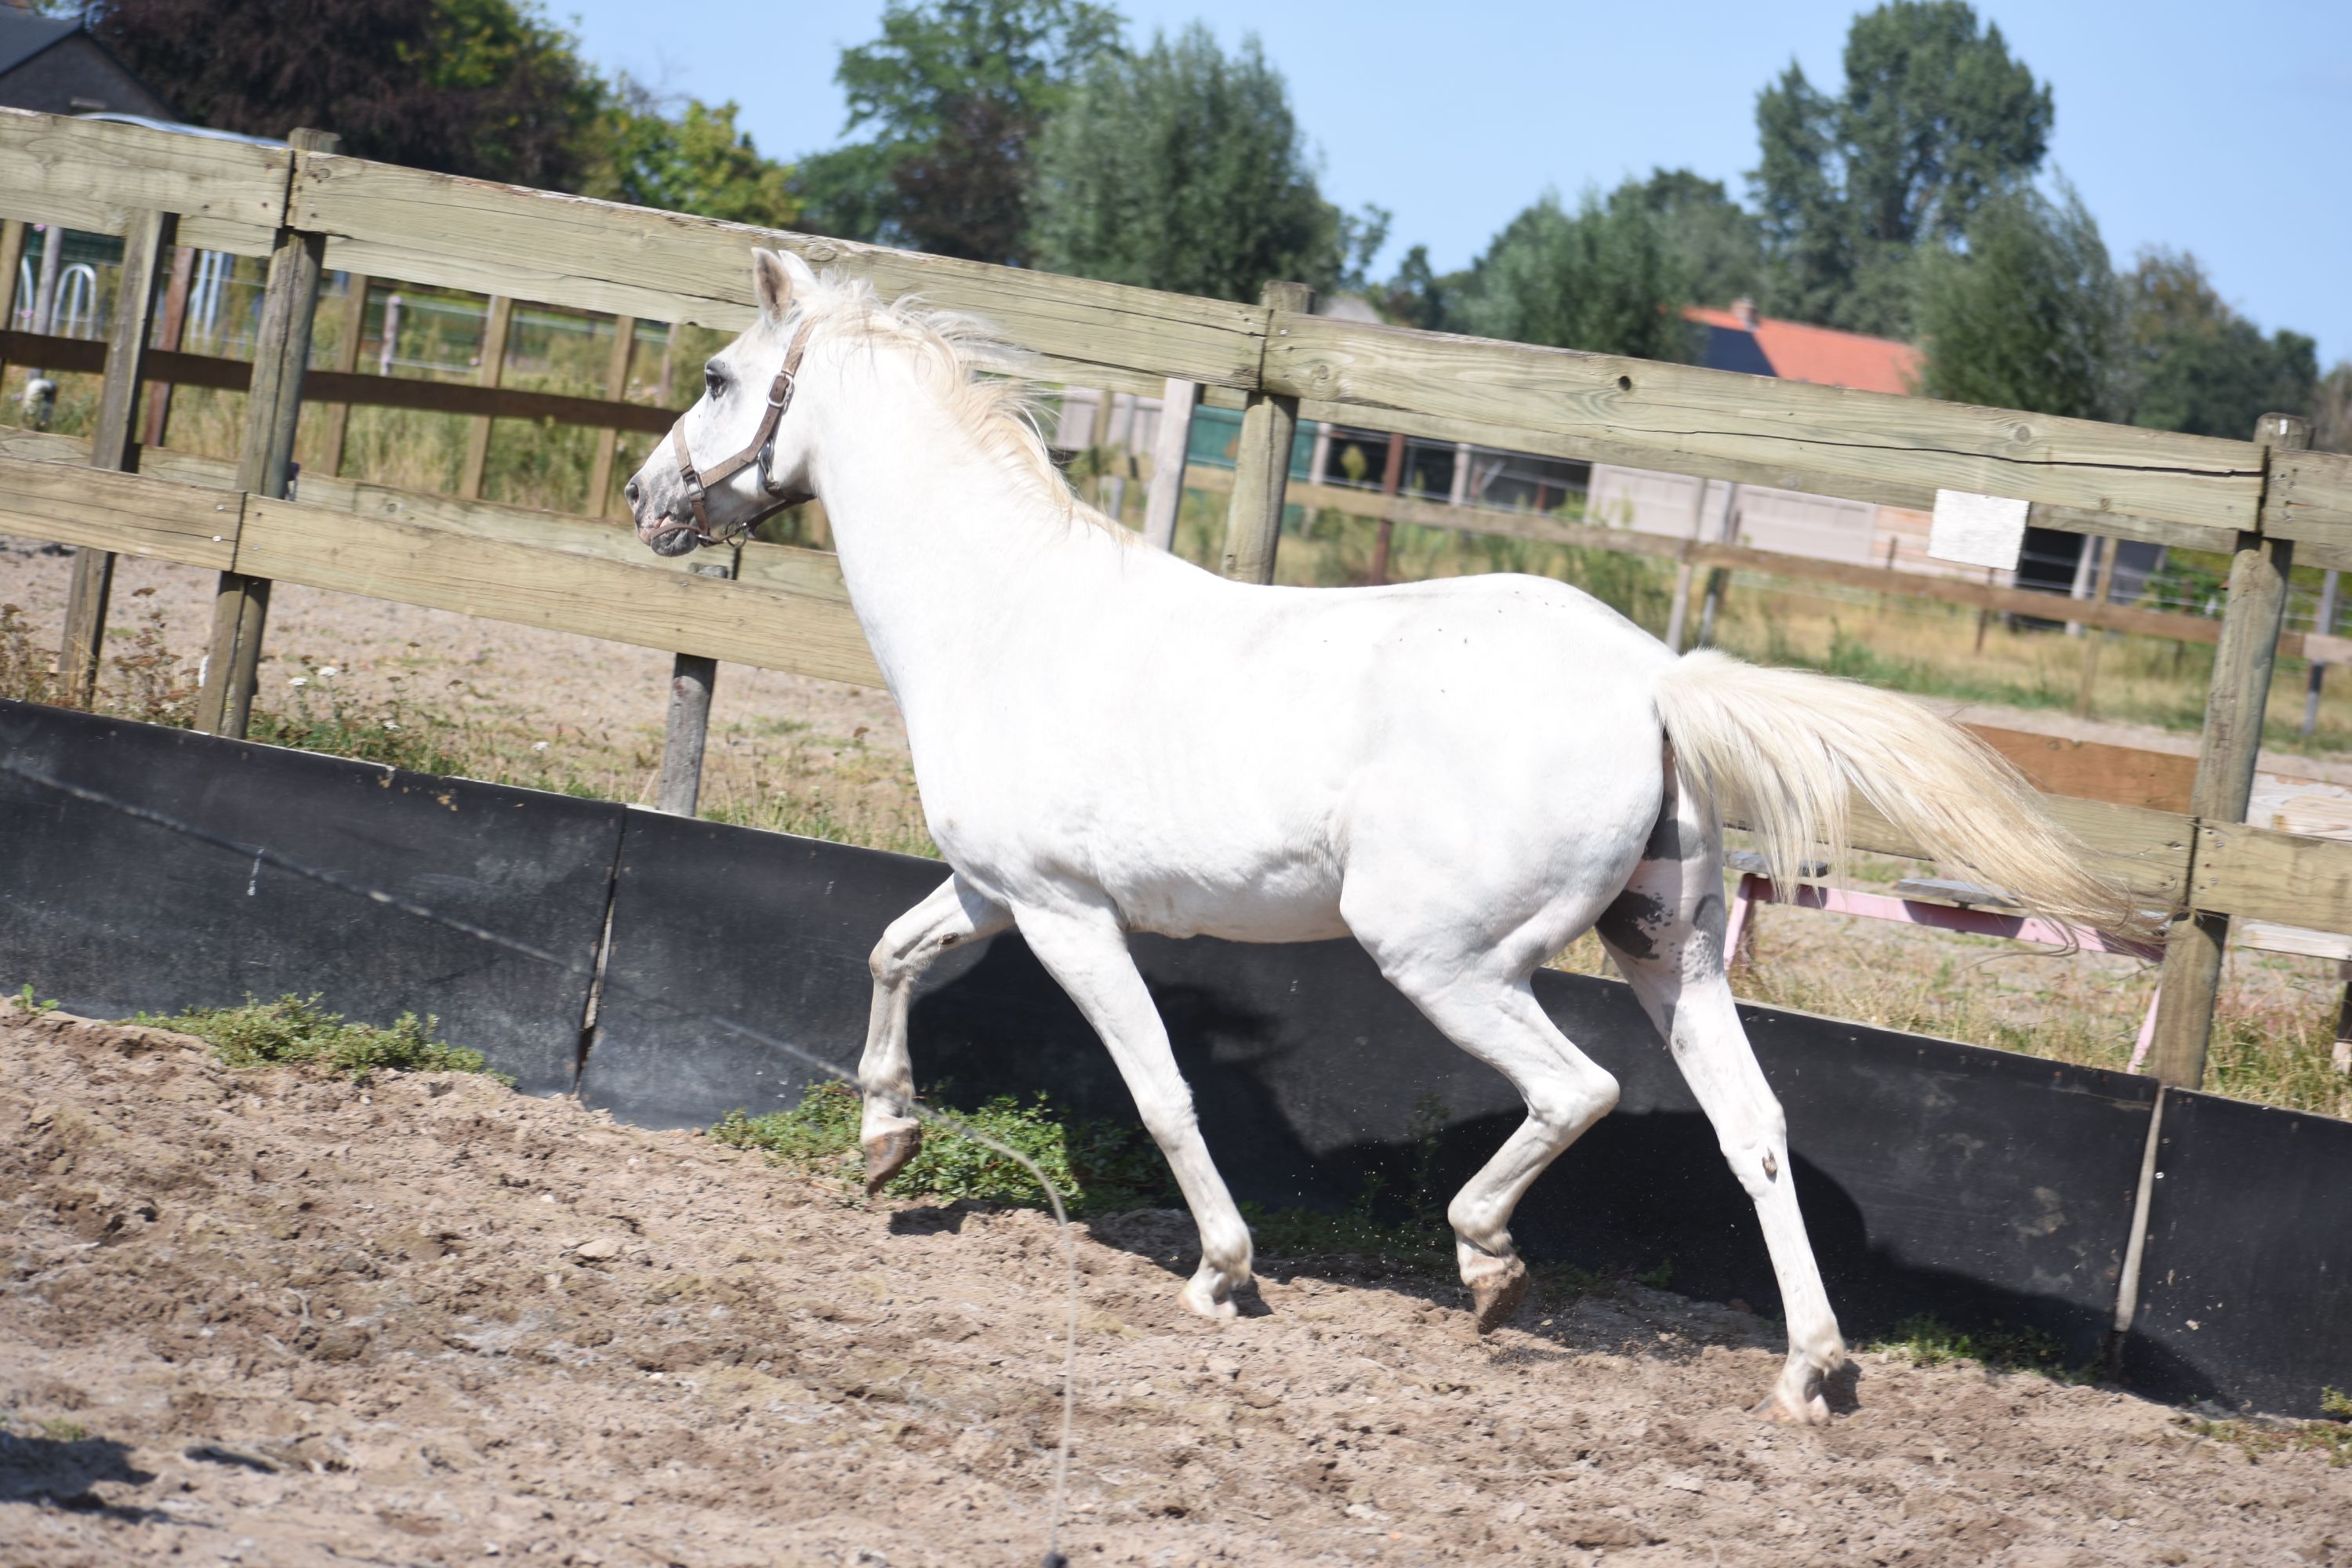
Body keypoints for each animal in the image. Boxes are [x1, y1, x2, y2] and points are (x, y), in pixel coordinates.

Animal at [623, 248, 2145, 1423]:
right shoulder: (994, 890)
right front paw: (887, 1140)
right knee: (1753, 1128)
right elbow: (892, 953)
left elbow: (1159, 1089)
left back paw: (1487, 1265)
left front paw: (1225, 1273)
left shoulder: (1064, 911)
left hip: (1442, 960)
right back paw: (1810, 1373)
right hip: (1673, 953)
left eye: (717, 378)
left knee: (1578, 1092)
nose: (647, 501)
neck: (999, 612)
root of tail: (1651, 679)